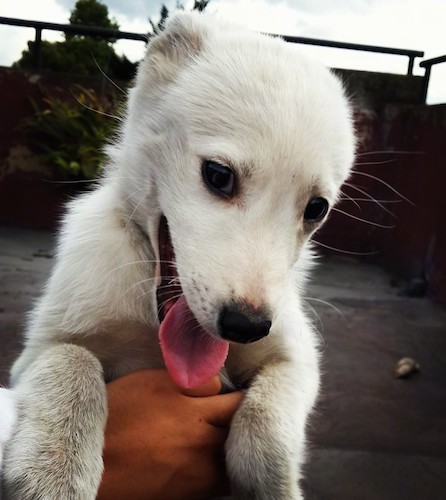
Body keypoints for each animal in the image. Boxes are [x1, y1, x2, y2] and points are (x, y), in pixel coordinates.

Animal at [1, 12, 354, 500]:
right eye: (219, 175)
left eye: (317, 208)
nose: (247, 327)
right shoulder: (39, 351)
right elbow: (72, 362)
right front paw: (54, 470)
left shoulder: (295, 357)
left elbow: (266, 424)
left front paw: (270, 483)